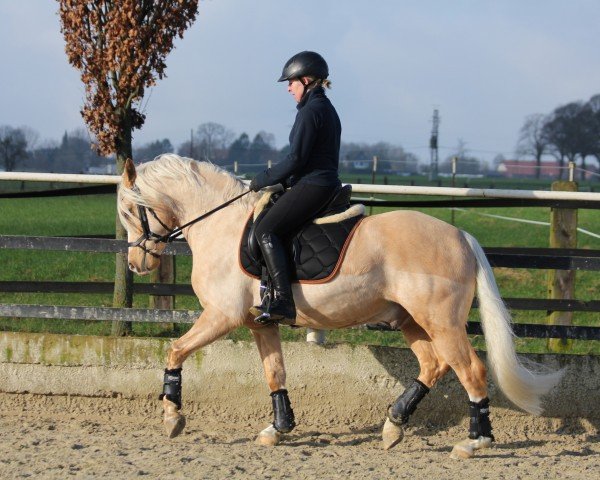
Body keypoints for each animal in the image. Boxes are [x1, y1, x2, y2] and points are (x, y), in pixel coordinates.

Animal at [117, 156, 564, 460]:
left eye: (128, 211)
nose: (136, 264)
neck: (221, 226)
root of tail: (461, 235)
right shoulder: (260, 323)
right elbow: (274, 373)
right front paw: (278, 428)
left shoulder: (221, 316)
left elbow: (175, 350)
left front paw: (172, 418)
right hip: (412, 321)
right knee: (432, 365)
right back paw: (393, 426)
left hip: (442, 322)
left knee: (470, 370)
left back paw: (474, 442)